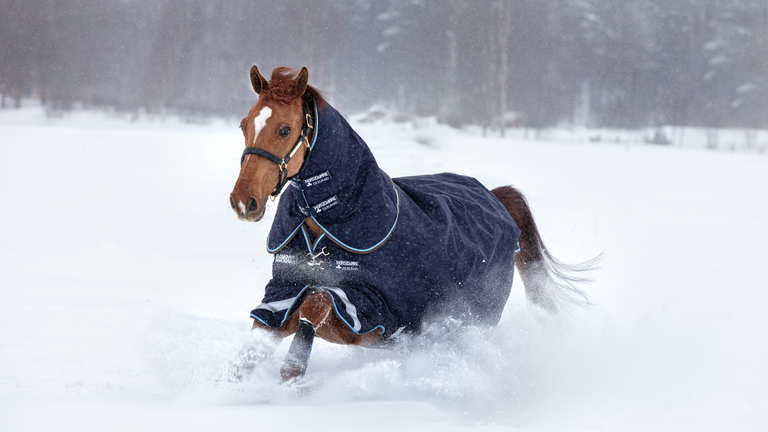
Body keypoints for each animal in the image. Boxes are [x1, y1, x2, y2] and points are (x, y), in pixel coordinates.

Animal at [228, 66, 593, 382]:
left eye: (284, 129)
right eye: (244, 125)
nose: (243, 201)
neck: (329, 224)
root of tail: (495, 196)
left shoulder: (369, 309)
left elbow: (316, 301)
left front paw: (292, 373)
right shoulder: (281, 296)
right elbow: (252, 348)